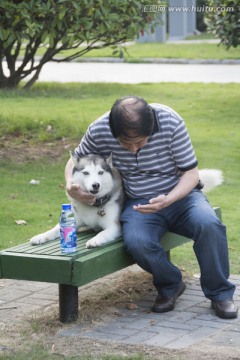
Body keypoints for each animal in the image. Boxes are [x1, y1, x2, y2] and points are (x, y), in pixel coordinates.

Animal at [29, 153, 223, 249]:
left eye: (100, 172)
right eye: (85, 173)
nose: (95, 185)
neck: (96, 204)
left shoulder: (115, 227)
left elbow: (103, 232)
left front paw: (96, 240)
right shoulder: (74, 220)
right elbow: (54, 230)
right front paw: (40, 236)